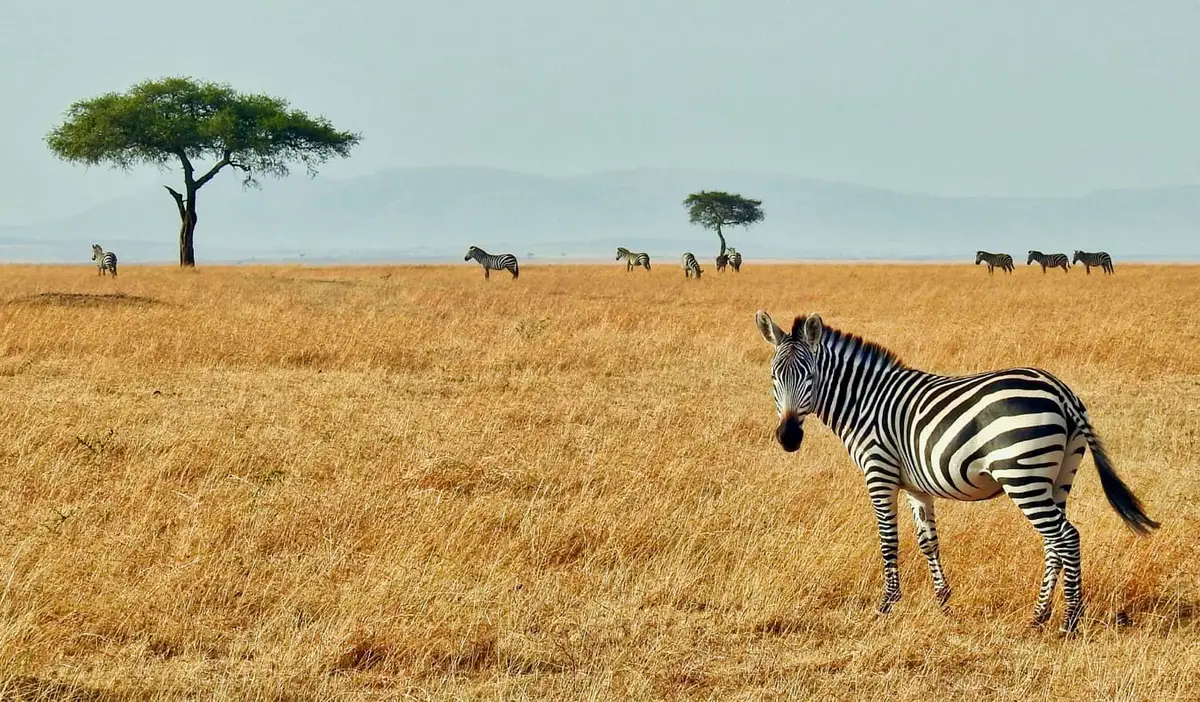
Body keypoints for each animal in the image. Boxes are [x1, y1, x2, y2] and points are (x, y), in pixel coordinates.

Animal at [754, 310, 1160, 634]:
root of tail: (1061, 391)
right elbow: (928, 541)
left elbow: (888, 541)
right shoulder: (917, 485)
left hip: (1022, 474)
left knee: (1067, 537)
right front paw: (943, 602)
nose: (788, 438)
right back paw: (1039, 616)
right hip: (1058, 476)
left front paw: (886, 605)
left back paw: (1069, 621)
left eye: (808, 375)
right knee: (1054, 542)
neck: (864, 401)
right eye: (774, 376)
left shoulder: (879, 472)